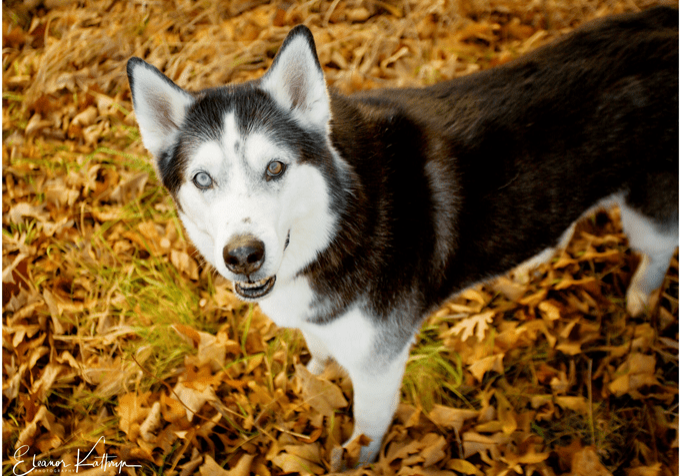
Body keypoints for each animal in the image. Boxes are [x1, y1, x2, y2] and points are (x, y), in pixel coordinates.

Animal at [126, 6, 676, 462]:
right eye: (203, 179)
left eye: (275, 167)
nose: (243, 255)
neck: (341, 221)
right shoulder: (323, 323)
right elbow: (318, 348)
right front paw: (314, 377)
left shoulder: (379, 365)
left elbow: (366, 427)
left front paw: (354, 460)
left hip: (647, 215)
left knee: (659, 252)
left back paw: (640, 298)